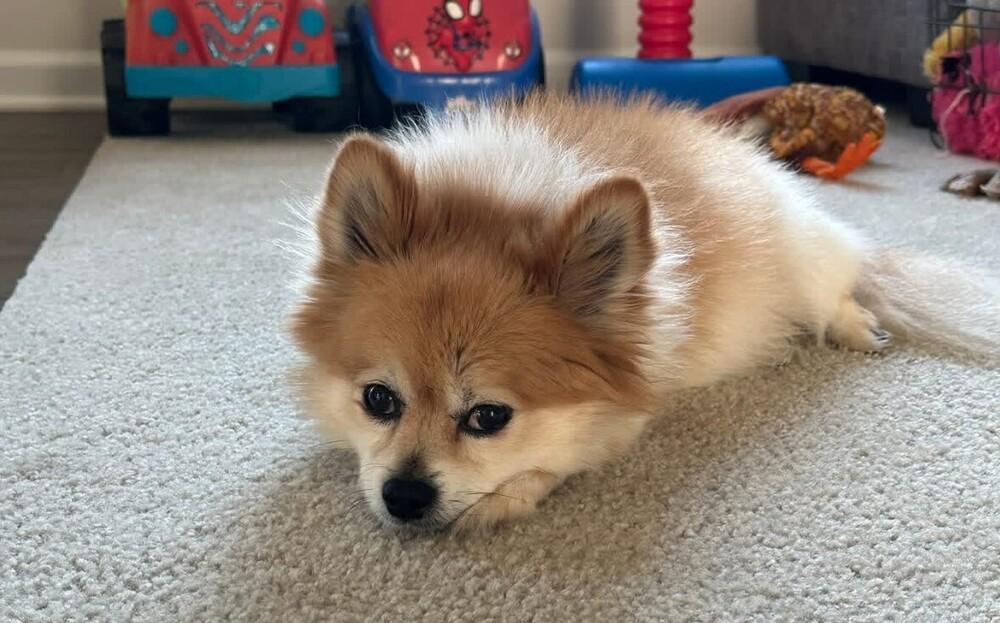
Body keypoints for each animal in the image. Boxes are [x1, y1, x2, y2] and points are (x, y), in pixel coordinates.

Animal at [290, 92, 999, 532]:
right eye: (378, 400)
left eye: (488, 417)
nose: (404, 496)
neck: (496, 199)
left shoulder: (635, 396)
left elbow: (557, 458)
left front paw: (501, 500)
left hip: (802, 259)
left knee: (838, 289)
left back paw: (853, 324)